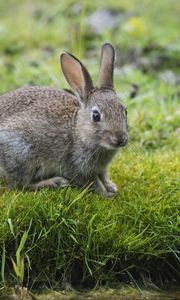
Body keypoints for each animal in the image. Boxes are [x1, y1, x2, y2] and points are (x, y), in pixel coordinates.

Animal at [0, 42, 128, 197]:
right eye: (96, 116)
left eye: (125, 111)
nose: (120, 139)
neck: (78, 131)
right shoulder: (77, 167)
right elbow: (93, 183)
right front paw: (107, 194)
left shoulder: (101, 168)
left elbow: (103, 176)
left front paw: (111, 187)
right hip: (20, 153)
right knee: (20, 186)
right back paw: (55, 182)